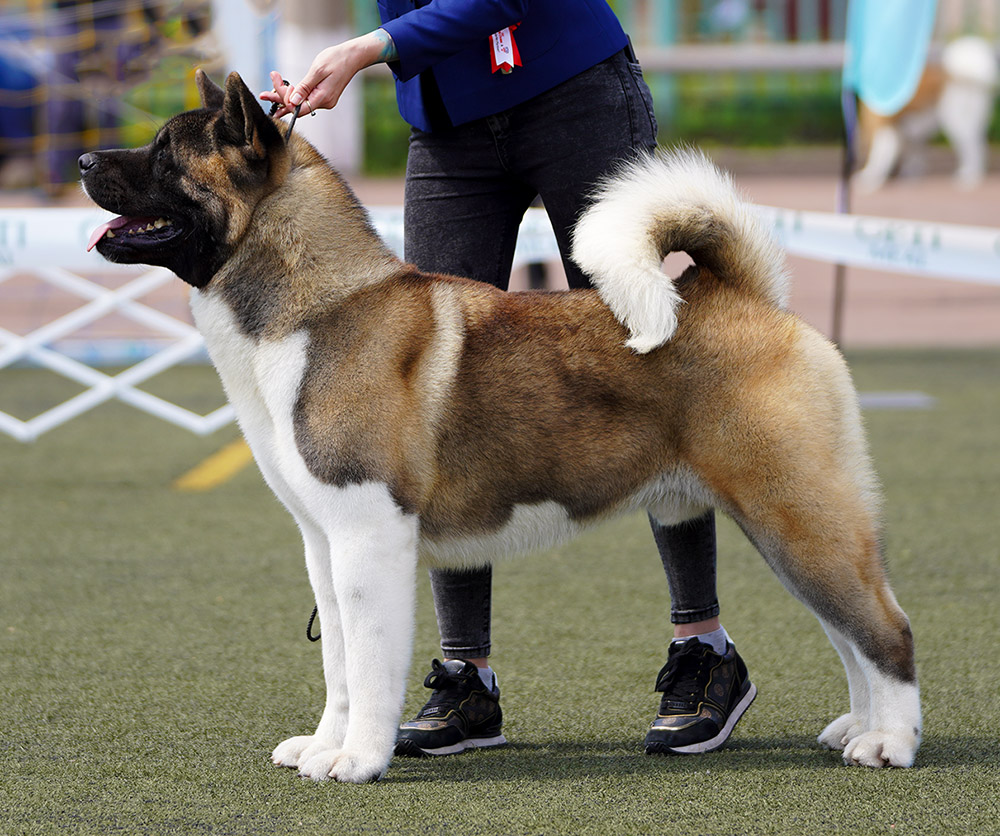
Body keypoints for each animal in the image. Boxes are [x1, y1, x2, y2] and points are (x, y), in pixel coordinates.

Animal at [78, 73, 920, 784]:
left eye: (165, 152)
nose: (84, 157)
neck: (316, 307)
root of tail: (739, 296)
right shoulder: (325, 543)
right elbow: (340, 669)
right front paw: (323, 745)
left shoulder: (369, 541)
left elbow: (371, 665)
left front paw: (357, 760)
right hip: (792, 525)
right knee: (850, 635)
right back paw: (857, 728)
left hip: (796, 515)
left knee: (886, 629)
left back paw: (892, 744)